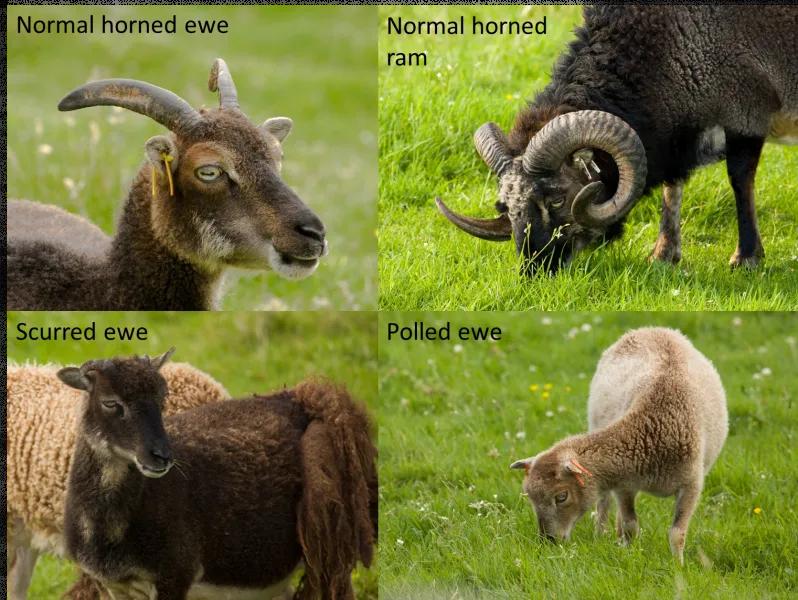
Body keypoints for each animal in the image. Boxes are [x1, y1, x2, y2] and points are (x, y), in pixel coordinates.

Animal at [57, 350, 377, 600]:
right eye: (110, 403)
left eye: (162, 400)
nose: (161, 456)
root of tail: (299, 397)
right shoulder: (113, 585)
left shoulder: (175, 574)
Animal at [437, 5, 797, 273]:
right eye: (504, 206)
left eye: (557, 199)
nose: (536, 270)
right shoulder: (678, 135)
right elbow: (673, 186)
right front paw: (663, 256)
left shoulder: (747, 114)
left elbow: (740, 178)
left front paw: (747, 258)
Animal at [510, 327, 728, 564]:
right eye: (531, 499)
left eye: (561, 497)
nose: (548, 541)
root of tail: (650, 329)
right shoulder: (625, 486)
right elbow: (630, 525)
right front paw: (630, 554)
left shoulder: (691, 485)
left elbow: (677, 533)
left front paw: (677, 565)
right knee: (604, 503)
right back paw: (601, 535)